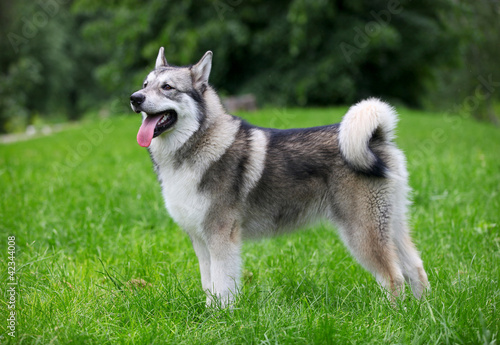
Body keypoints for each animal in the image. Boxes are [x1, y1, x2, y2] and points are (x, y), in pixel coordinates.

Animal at [130, 47, 430, 306]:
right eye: (145, 84)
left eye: (167, 87)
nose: (135, 98)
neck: (198, 143)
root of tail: (378, 137)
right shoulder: (201, 241)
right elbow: (209, 286)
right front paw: (209, 315)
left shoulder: (221, 237)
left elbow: (223, 287)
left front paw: (221, 319)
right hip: (391, 225)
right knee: (415, 268)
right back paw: (421, 312)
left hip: (362, 231)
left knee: (393, 277)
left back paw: (392, 315)